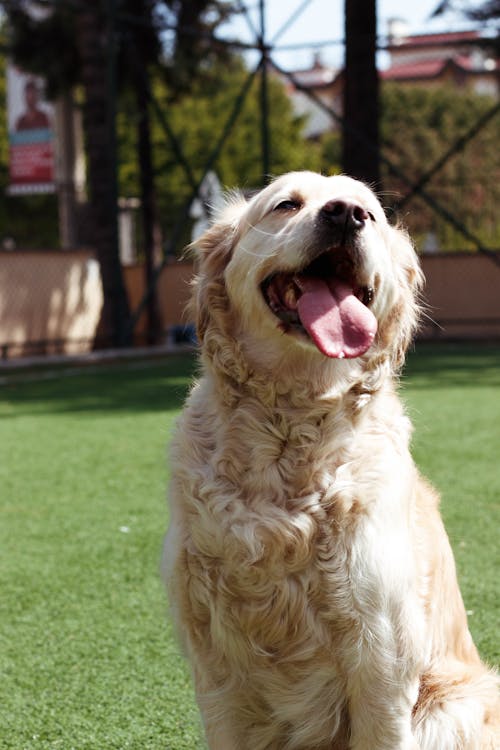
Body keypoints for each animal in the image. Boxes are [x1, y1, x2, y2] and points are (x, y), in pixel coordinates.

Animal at [162, 172, 498, 750]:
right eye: (286, 204)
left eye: (370, 212)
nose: (345, 215)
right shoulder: (216, 669)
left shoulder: (383, 656)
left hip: (450, 706)